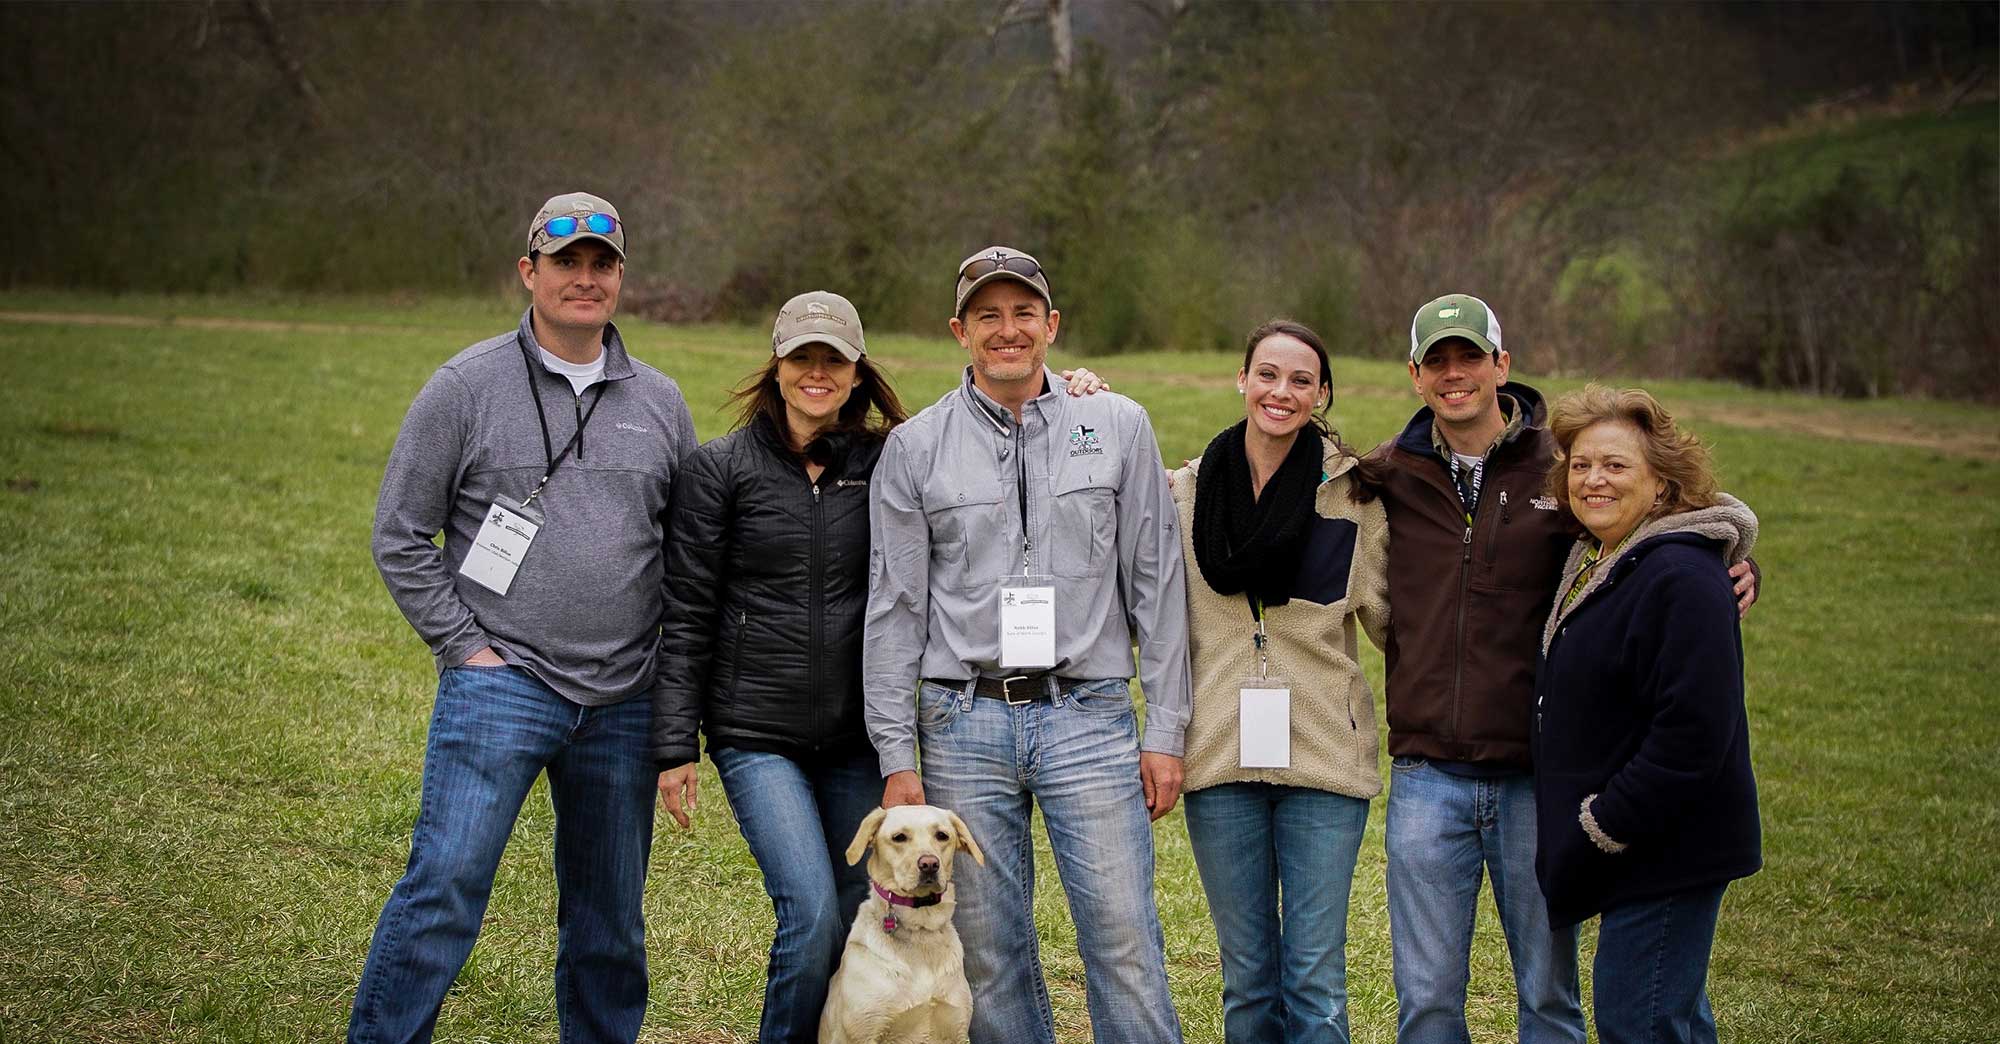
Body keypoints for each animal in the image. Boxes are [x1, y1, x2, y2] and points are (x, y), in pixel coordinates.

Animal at [818, 804, 985, 1044]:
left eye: (942, 835)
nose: (929, 864)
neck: (920, 931)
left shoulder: (956, 1030)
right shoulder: (862, 1034)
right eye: (899, 837)